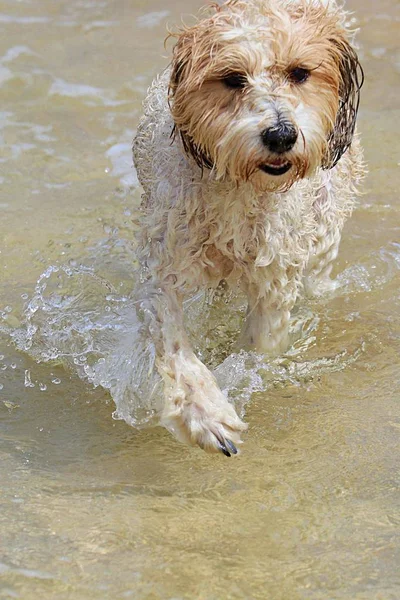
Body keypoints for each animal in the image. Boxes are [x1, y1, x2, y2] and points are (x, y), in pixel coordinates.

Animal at [133, 0, 364, 458]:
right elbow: (174, 344)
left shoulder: (275, 278)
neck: (240, 187)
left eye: (299, 73)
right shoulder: (165, 268)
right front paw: (206, 415)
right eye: (232, 78)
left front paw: (239, 373)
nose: (281, 134)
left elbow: (259, 343)